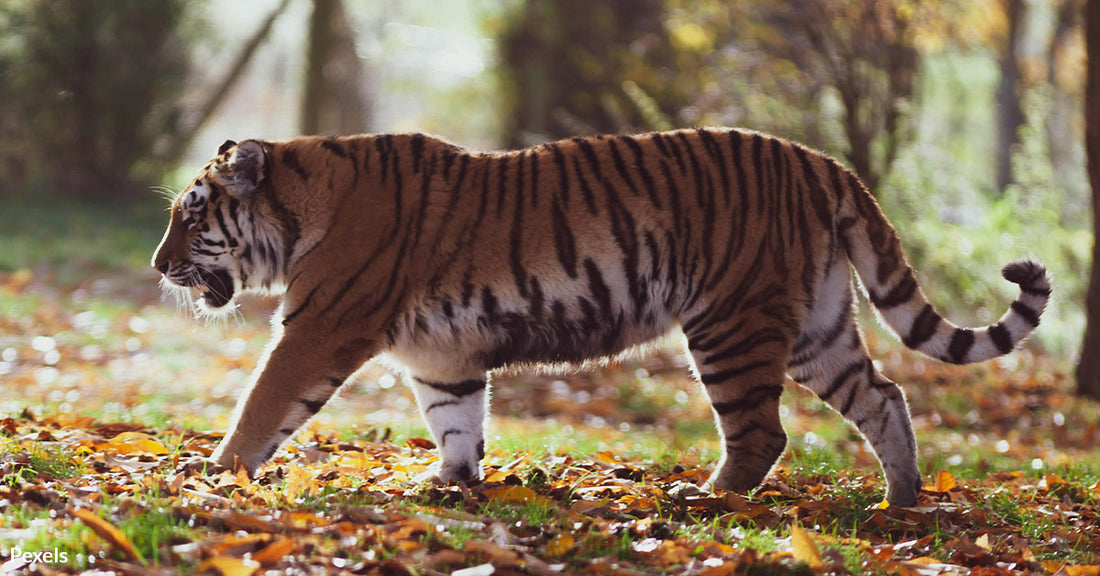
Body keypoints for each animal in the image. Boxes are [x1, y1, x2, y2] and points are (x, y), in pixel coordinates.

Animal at [152, 128, 1050, 506]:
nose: (158, 268)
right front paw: (447, 483)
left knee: (762, 433)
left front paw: (215, 471)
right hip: (817, 328)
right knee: (885, 398)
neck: (302, 204)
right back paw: (901, 502)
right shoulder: (441, 356)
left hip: (731, 323)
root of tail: (822, 162)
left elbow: (262, 404)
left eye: (191, 218)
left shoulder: (319, 329)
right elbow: (456, 421)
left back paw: (705, 500)